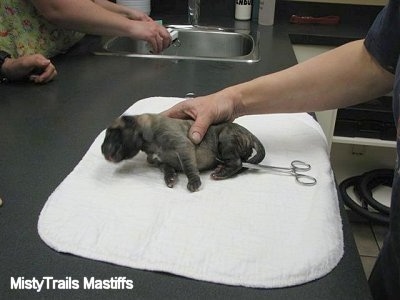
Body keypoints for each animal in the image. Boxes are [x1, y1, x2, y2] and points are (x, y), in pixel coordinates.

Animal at [101, 112, 266, 192]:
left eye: (112, 134)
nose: (102, 151)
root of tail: (249, 133)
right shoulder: (160, 161)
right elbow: (167, 168)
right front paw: (170, 177)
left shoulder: (182, 145)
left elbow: (188, 166)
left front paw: (193, 182)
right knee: (243, 164)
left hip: (226, 138)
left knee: (237, 162)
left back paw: (222, 173)